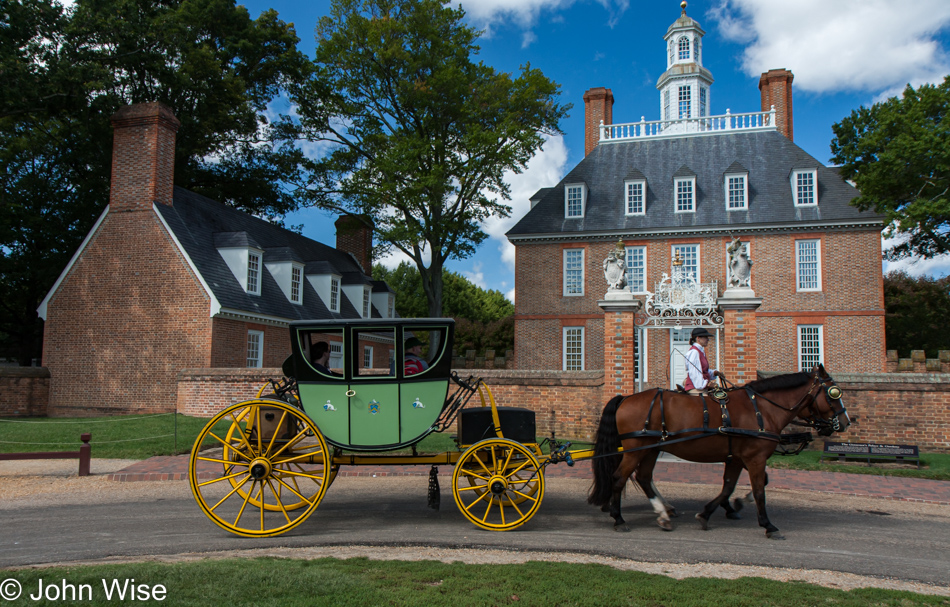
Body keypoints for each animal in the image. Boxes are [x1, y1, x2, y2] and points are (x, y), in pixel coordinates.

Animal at [592, 364, 852, 540]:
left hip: (650, 450)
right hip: (636, 450)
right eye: (834, 393)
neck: (761, 408)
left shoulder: (737, 458)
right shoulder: (755, 458)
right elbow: (759, 490)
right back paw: (619, 518)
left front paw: (712, 511)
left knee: (644, 478)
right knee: (619, 478)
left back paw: (663, 514)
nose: (846, 422)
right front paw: (768, 524)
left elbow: (729, 486)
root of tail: (626, 397)